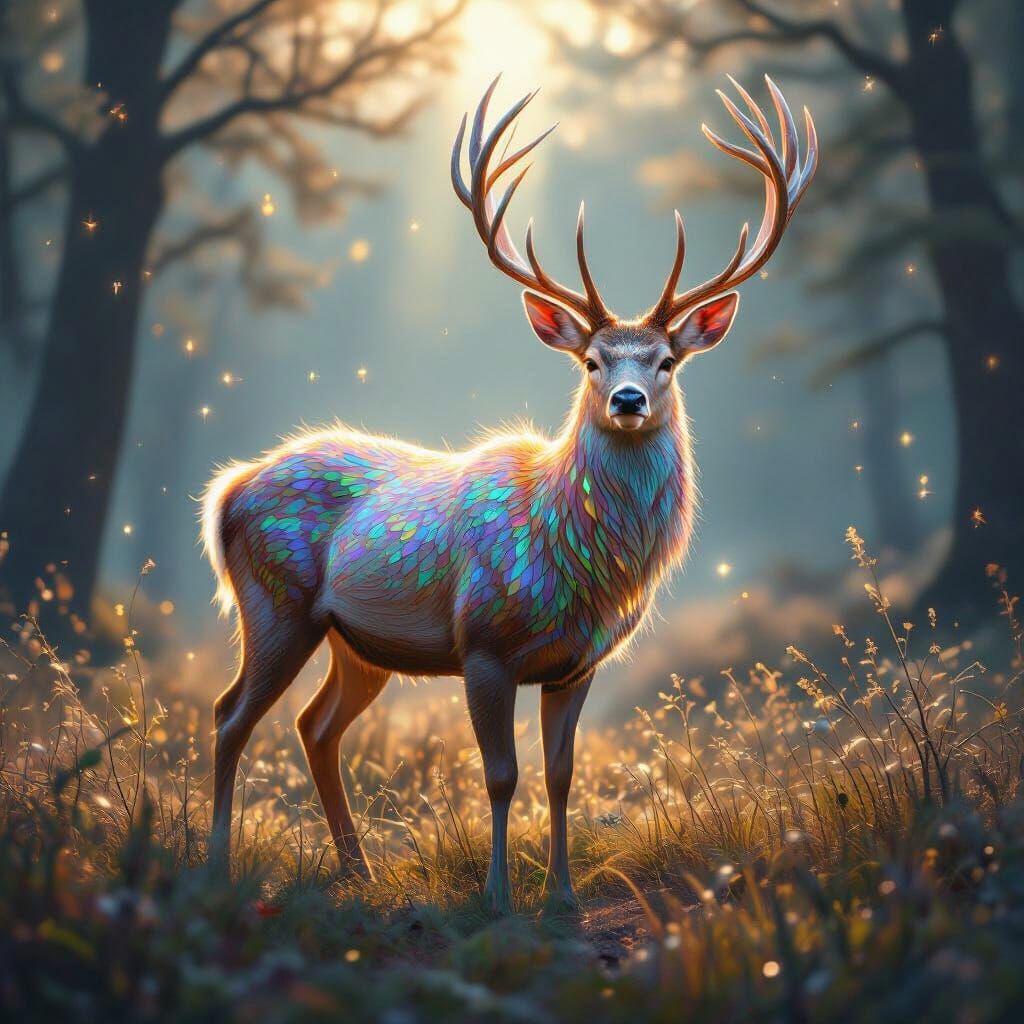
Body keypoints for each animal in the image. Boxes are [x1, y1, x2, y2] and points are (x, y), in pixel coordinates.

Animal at [202, 75, 817, 913]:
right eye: (592, 361)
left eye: (666, 361)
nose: (628, 399)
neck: (577, 559)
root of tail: (227, 492)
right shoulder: (483, 643)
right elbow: (500, 776)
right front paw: (497, 896)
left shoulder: (577, 664)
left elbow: (560, 777)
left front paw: (562, 896)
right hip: (275, 602)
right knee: (231, 715)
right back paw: (214, 865)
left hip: (356, 643)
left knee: (314, 725)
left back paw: (357, 871)